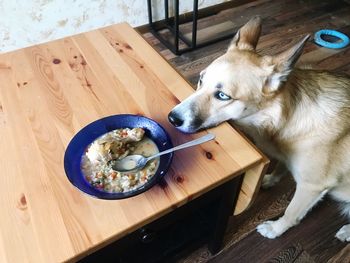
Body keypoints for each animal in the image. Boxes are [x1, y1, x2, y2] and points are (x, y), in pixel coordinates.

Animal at [167, 16, 350, 242]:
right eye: (201, 79)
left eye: (223, 96)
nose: (172, 119)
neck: (284, 116)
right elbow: (281, 166)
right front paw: (270, 179)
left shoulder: (311, 186)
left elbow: (291, 212)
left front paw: (275, 229)